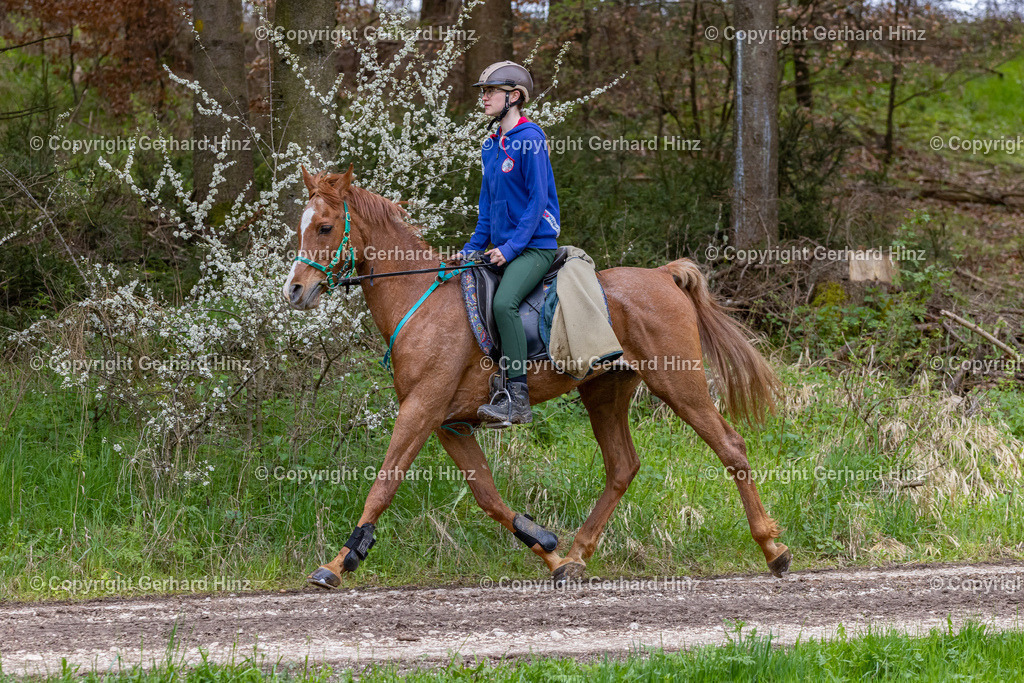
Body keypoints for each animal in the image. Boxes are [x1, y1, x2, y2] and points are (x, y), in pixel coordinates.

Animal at [284, 166, 794, 589]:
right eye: (301, 227)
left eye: (325, 227)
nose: (295, 290)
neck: (419, 298)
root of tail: (664, 275)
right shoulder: (451, 424)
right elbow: (488, 496)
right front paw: (549, 551)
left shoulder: (421, 409)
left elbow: (384, 483)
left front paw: (339, 562)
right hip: (604, 390)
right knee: (622, 466)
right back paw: (577, 555)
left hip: (678, 384)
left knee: (730, 447)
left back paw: (773, 548)